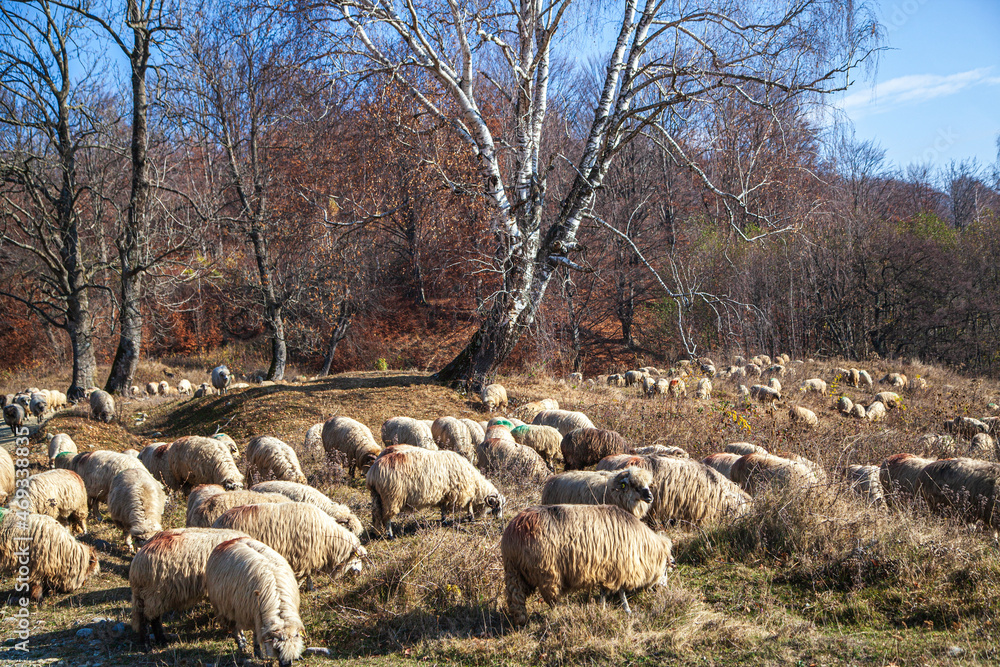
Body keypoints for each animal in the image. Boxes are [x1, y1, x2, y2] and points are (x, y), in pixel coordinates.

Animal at [205, 537, 305, 666]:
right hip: (227, 606)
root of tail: (229, 541)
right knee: (234, 627)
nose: (286, 665)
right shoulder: (254, 615)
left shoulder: (257, 617)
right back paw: (241, 644)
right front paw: (257, 653)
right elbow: (256, 635)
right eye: (277, 649)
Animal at [212, 502, 366, 584]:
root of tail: (217, 522)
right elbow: (302, 577)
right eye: (357, 558)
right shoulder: (302, 559)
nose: (359, 574)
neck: (328, 538)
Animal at [366, 446, 504, 538]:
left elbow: (443, 508)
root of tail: (373, 472)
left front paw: (444, 520)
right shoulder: (461, 493)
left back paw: (377, 532)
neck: (475, 484)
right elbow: (468, 505)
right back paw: (390, 535)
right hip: (392, 497)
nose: (499, 518)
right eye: (498, 505)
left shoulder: (446, 494)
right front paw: (471, 518)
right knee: (387, 517)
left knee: (376, 514)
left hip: (377, 496)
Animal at [501, 504, 675, 625]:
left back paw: (519, 620)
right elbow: (621, 592)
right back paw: (561, 613)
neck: (643, 548)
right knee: (551, 599)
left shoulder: (609, 570)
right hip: (547, 572)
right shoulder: (619, 568)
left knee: (515, 598)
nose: (664, 589)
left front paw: (602, 607)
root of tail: (513, 531)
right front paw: (627, 610)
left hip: (514, 571)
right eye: (666, 569)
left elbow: (605, 591)